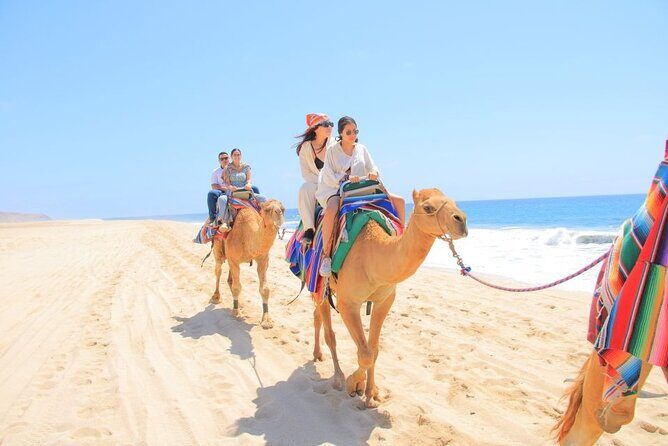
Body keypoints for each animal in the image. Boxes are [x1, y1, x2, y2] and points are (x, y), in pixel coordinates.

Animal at [211, 199, 285, 329]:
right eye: (267, 209)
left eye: (283, 208)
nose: (279, 213)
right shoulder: (234, 259)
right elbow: (236, 287)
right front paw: (236, 312)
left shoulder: (262, 259)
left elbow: (265, 289)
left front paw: (267, 320)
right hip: (218, 247)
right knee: (218, 270)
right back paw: (216, 297)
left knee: (230, 279)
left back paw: (238, 304)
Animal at [312, 188, 468, 407]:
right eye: (427, 207)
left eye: (453, 202)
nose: (461, 220)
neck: (372, 255)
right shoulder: (348, 303)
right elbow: (365, 353)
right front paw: (353, 383)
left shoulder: (384, 301)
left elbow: (373, 350)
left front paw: (371, 392)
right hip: (319, 283)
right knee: (329, 332)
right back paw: (337, 378)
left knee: (316, 315)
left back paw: (317, 355)